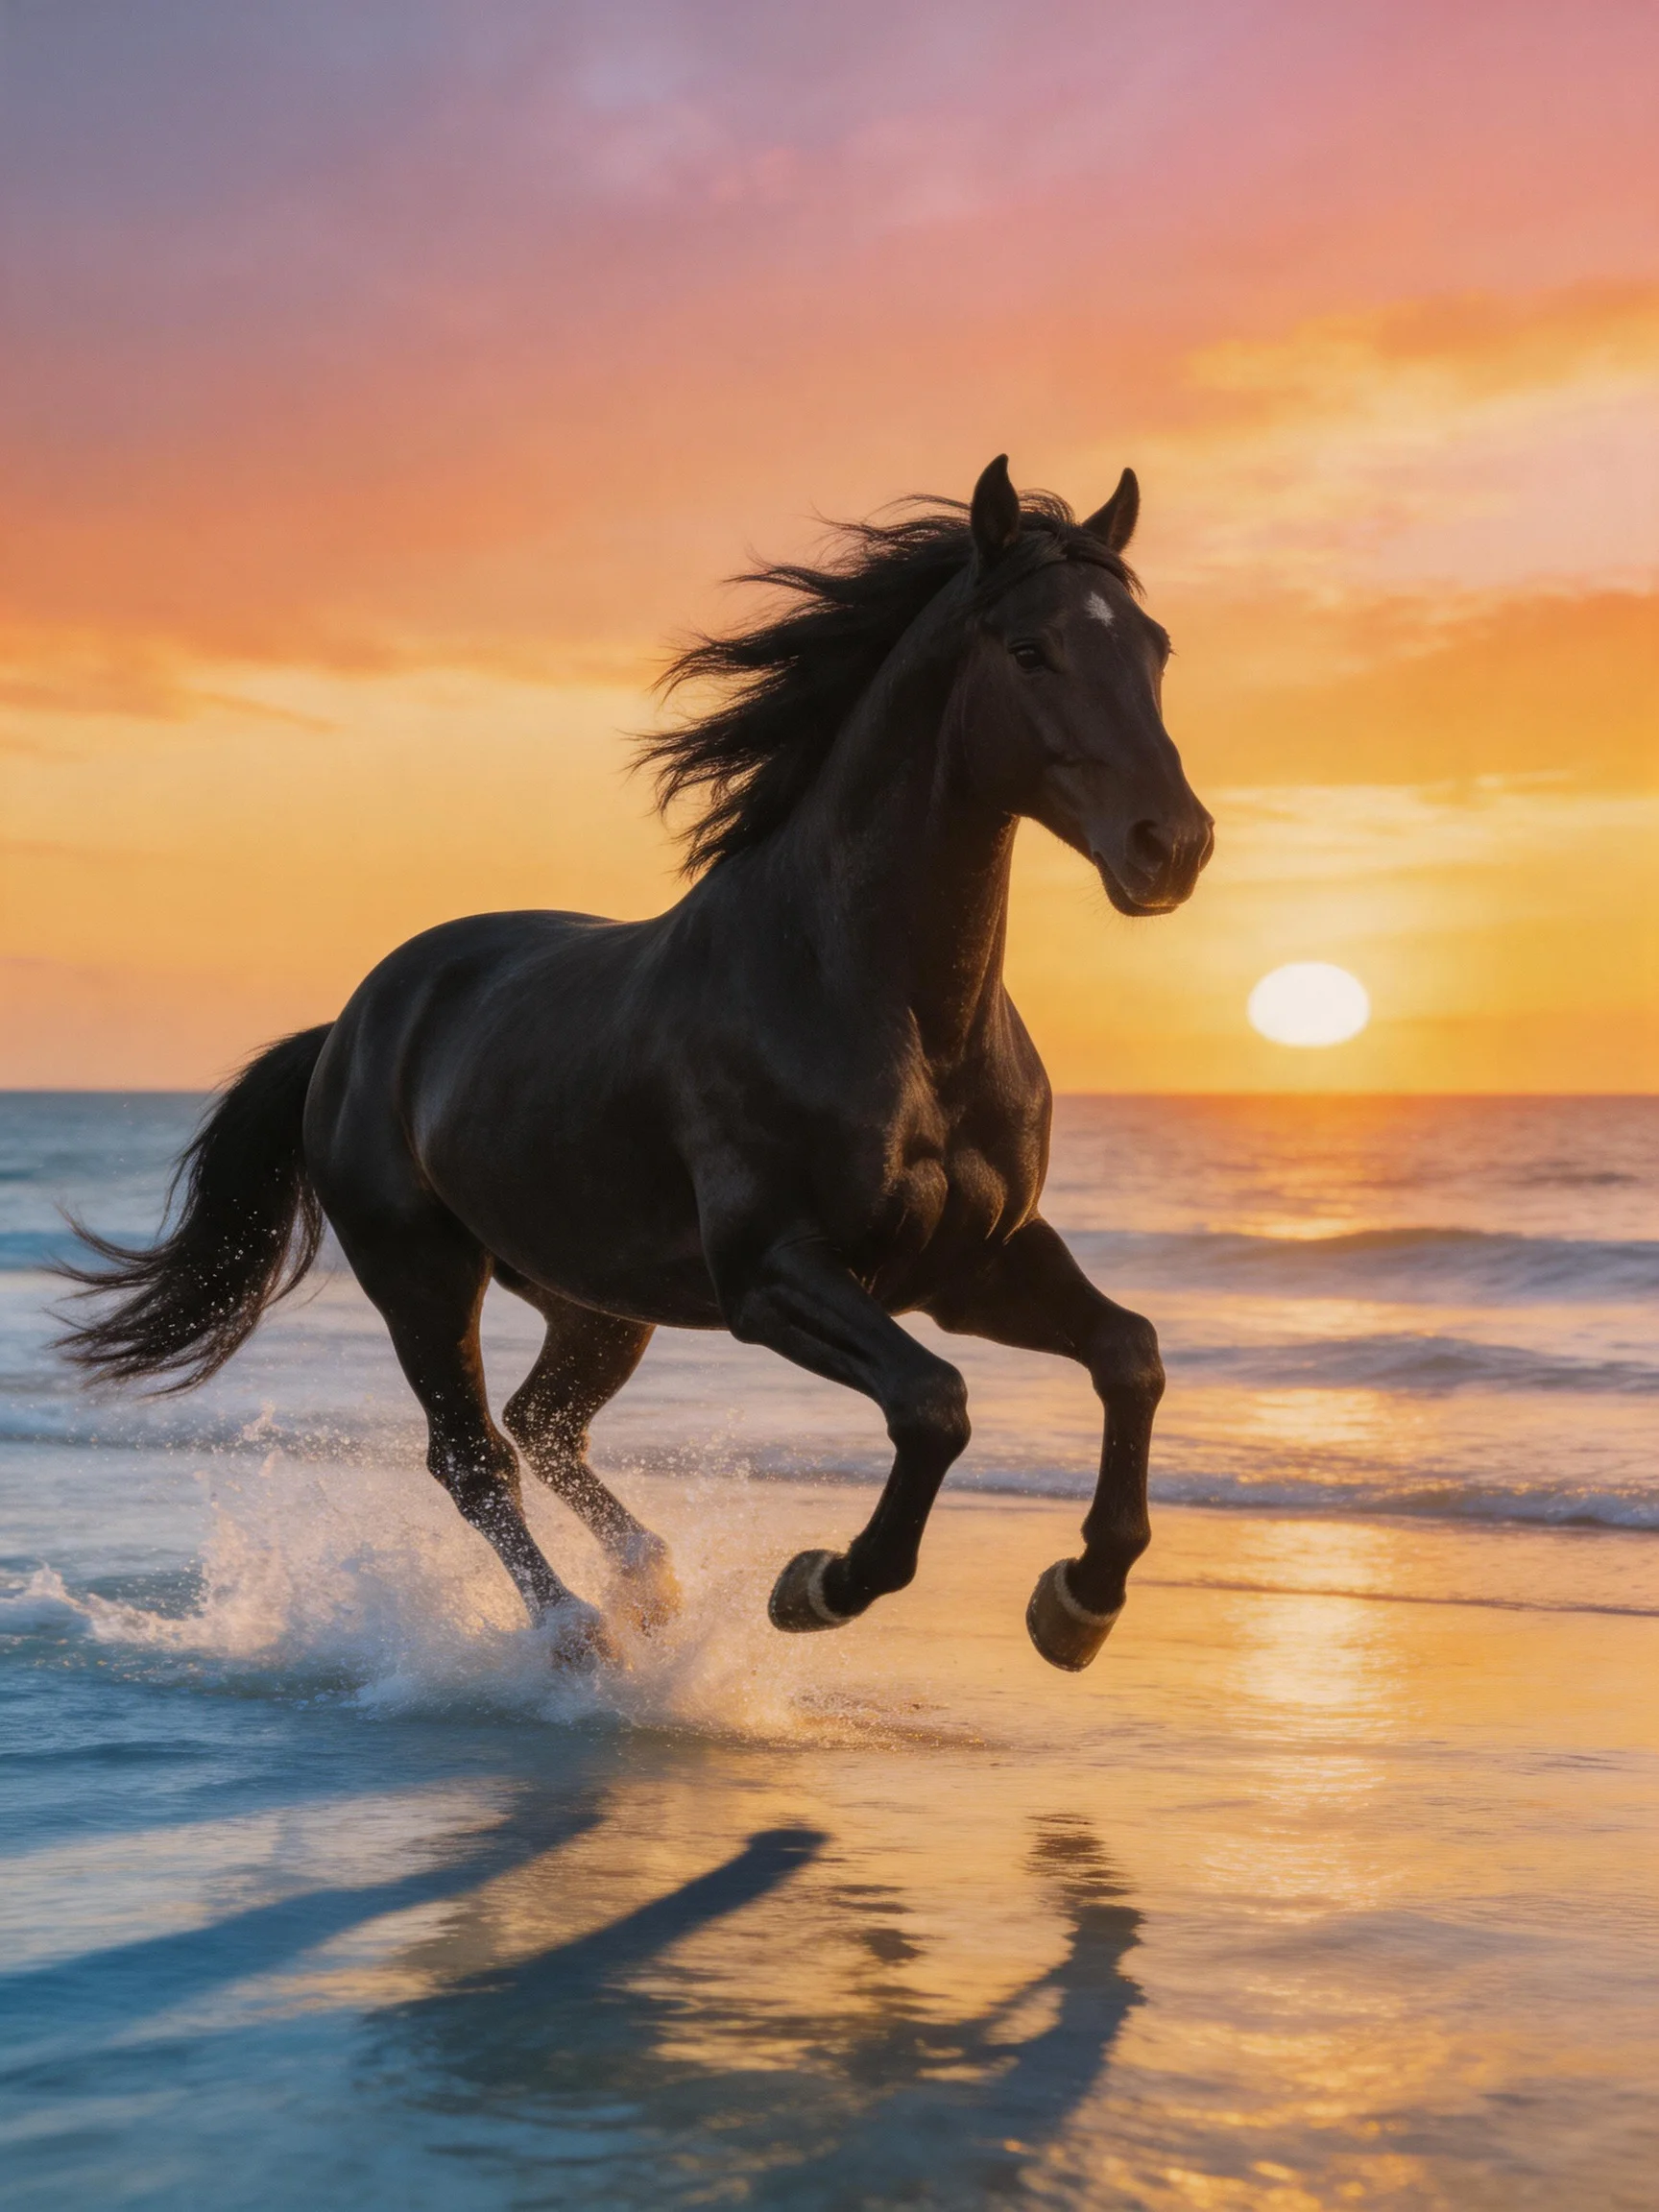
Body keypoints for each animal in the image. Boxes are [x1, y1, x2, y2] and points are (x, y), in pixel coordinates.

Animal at [60, 455, 1213, 1671]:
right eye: (1031, 650)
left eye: (1155, 648)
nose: (1172, 845)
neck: (892, 1013)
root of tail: (349, 1026)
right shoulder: (772, 1274)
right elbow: (932, 1402)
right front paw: (820, 1583)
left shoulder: (972, 1262)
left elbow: (1130, 1355)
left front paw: (1079, 1604)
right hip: (422, 1276)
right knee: (475, 1456)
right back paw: (579, 1633)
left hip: (596, 1296)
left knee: (543, 1423)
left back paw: (649, 1586)